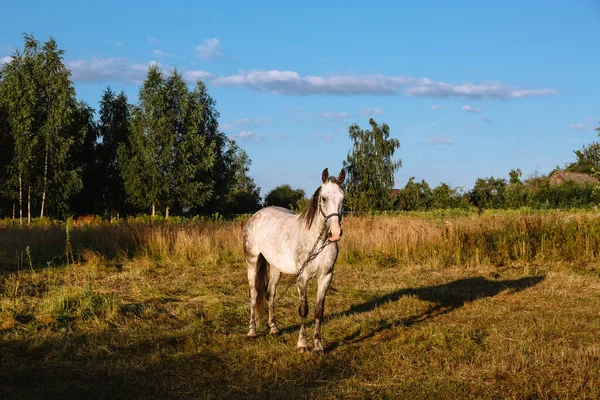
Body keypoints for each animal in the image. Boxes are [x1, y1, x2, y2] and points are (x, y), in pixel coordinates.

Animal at [241, 168, 344, 354]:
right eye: (324, 198)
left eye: (342, 198)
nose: (335, 233)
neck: (318, 241)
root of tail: (255, 216)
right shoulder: (302, 278)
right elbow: (303, 310)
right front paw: (302, 344)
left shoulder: (326, 276)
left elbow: (319, 310)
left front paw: (318, 346)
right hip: (252, 261)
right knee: (254, 293)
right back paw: (252, 332)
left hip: (275, 267)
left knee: (270, 293)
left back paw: (273, 328)